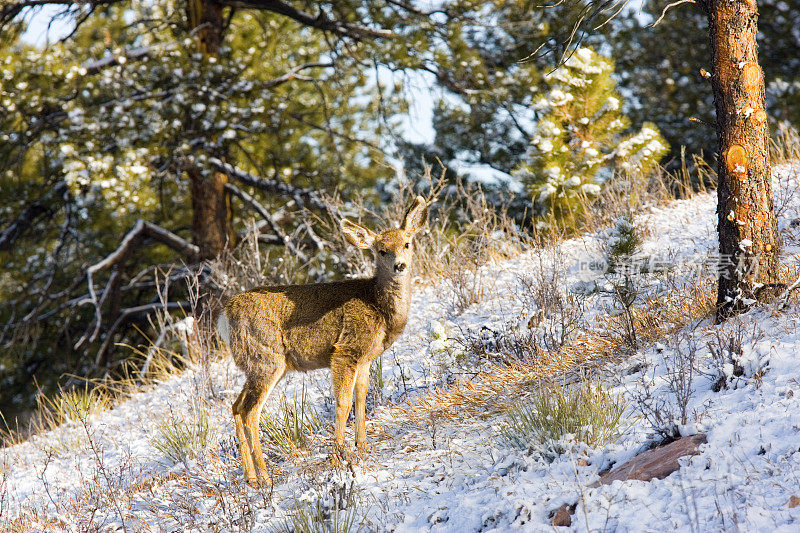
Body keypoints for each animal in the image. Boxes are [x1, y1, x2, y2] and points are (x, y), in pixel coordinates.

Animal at [216, 196, 428, 486]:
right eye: (381, 251)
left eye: (407, 243)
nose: (400, 266)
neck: (378, 306)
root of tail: (224, 316)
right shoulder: (345, 350)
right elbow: (343, 402)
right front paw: (338, 454)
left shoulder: (365, 358)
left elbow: (362, 397)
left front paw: (362, 446)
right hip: (265, 358)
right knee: (250, 412)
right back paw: (266, 478)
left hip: (258, 364)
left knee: (236, 406)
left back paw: (251, 478)